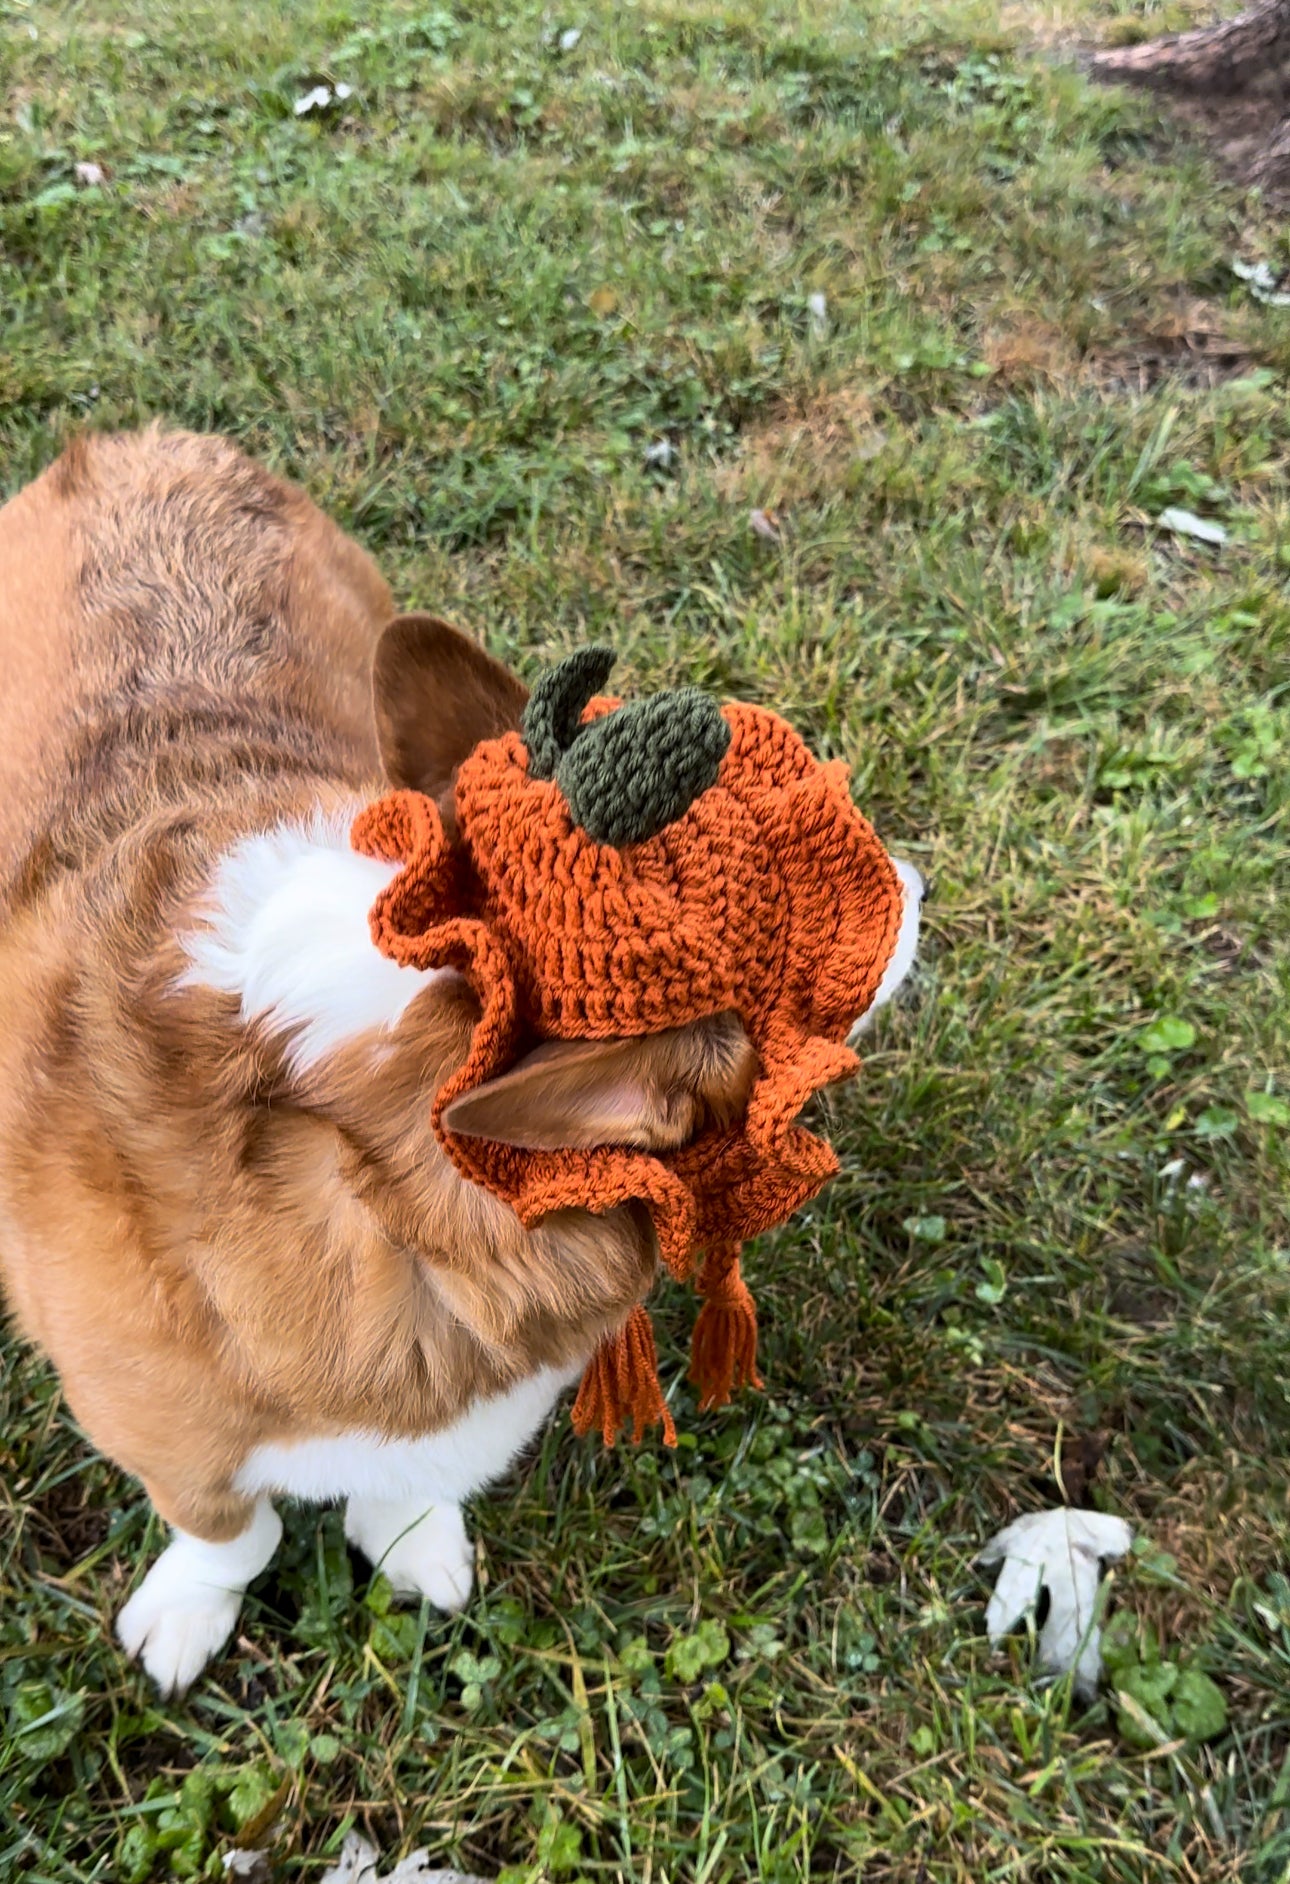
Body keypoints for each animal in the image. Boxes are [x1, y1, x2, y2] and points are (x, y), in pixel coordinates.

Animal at [0, 431, 926, 1695]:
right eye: (845, 914)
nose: (920, 880)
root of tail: (143, 443)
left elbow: (409, 1485)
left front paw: (410, 1547)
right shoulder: (160, 1432)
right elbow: (231, 1532)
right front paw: (188, 1615)